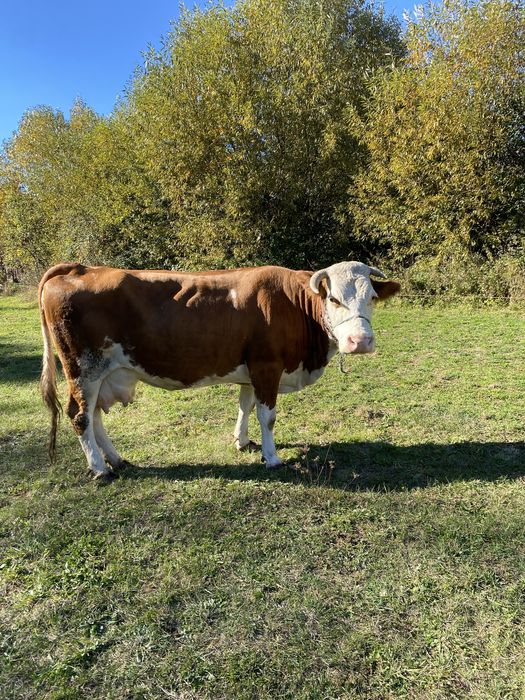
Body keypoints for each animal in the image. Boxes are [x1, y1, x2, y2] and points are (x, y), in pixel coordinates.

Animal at [39, 261, 400, 479]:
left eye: (371, 297)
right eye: (335, 299)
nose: (360, 341)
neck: (293, 304)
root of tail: (81, 268)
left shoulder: (252, 369)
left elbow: (245, 405)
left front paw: (242, 441)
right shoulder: (267, 366)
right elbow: (267, 415)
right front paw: (271, 457)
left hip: (101, 374)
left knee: (95, 416)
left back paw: (115, 459)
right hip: (84, 368)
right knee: (80, 416)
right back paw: (100, 468)